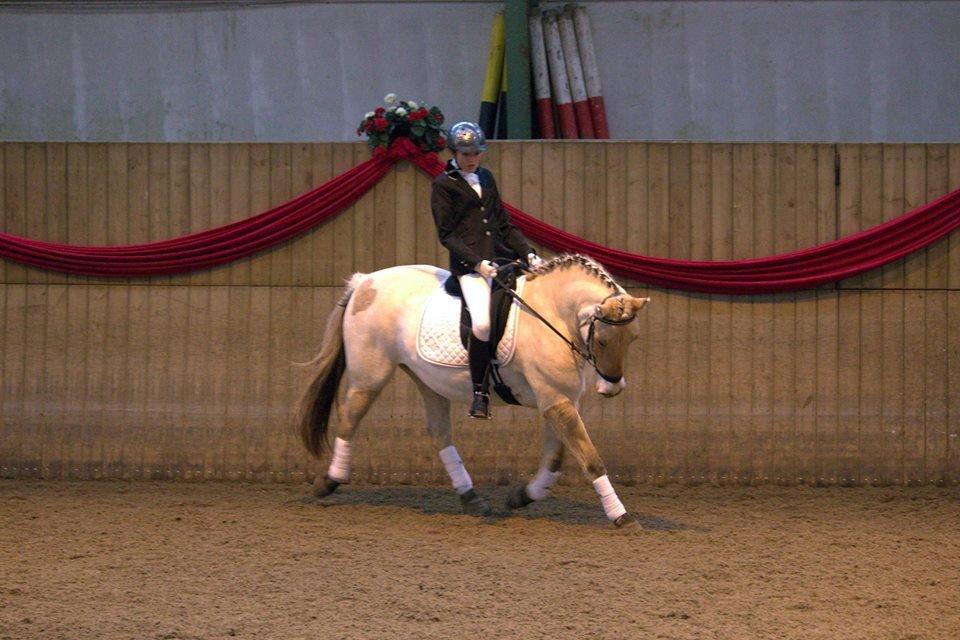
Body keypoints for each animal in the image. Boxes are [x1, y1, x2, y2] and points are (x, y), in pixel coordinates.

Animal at [298, 254, 650, 529]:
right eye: (602, 341)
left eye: (633, 338)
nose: (613, 387)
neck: (551, 314)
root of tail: (364, 282)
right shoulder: (555, 400)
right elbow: (591, 459)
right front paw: (622, 516)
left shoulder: (556, 400)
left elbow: (556, 459)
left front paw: (522, 496)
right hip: (370, 374)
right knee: (350, 417)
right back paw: (329, 481)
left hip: (428, 380)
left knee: (439, 433)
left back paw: (471, 498)